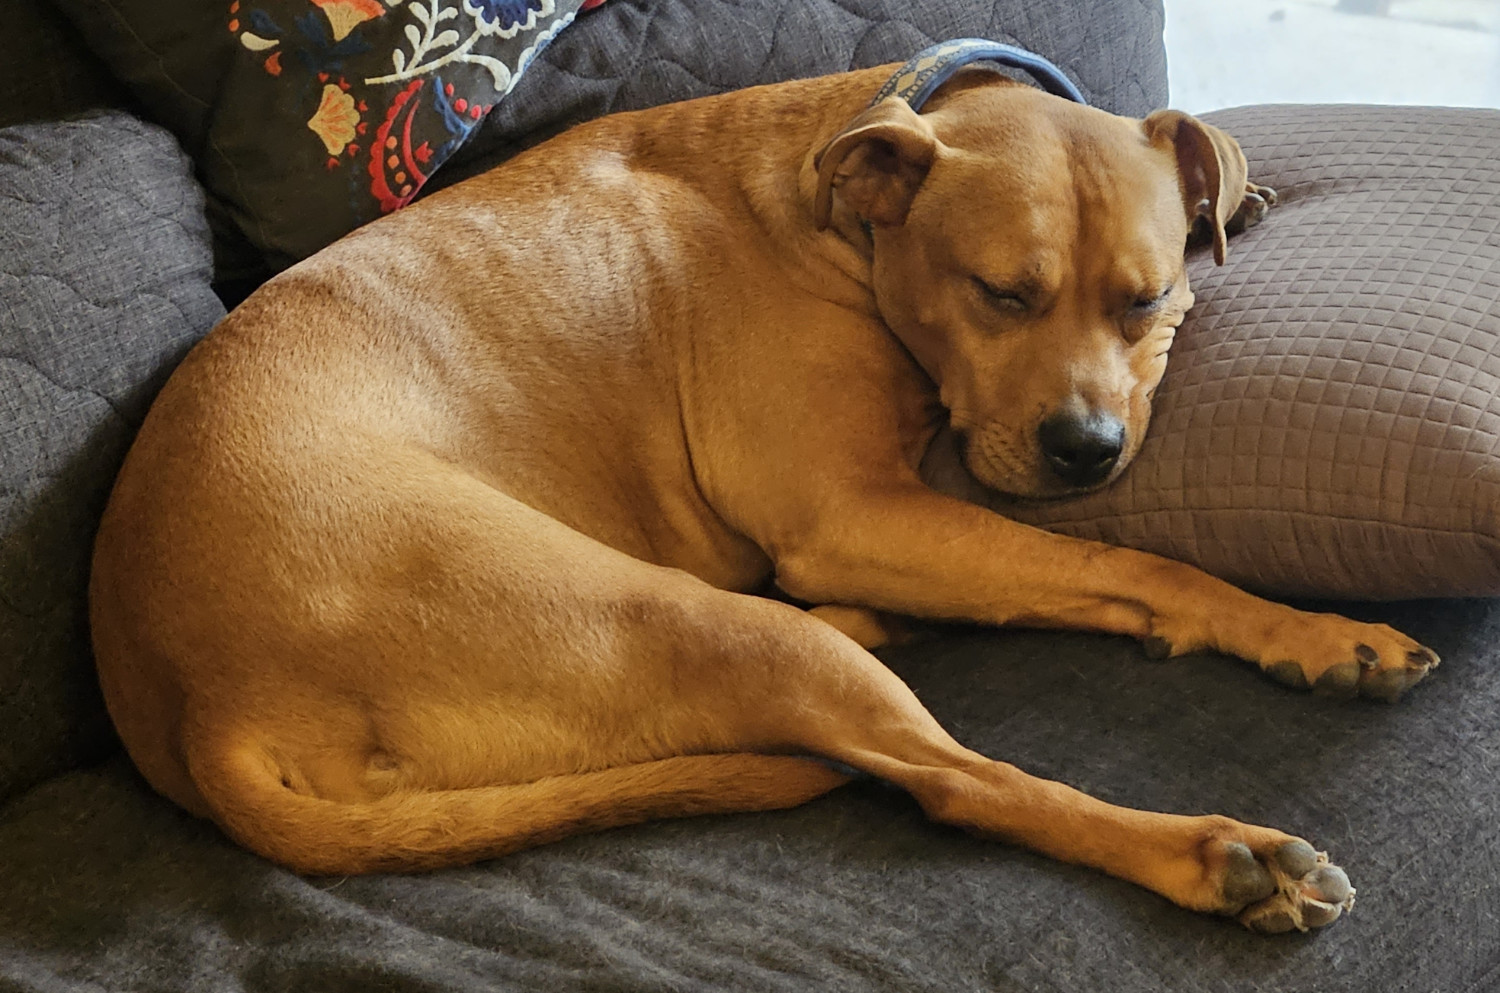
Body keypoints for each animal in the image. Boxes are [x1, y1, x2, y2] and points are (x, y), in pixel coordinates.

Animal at [87, 56, 1434, 942]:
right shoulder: (854, 520)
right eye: (1001, 294)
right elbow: (1142, 566)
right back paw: (1219, 854)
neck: (853, 207)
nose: (1087, 452)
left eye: (1145, 300)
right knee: (955, 780)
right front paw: (1306, 629)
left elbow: (1107, 574)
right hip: (696, 620)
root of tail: (201, 708)